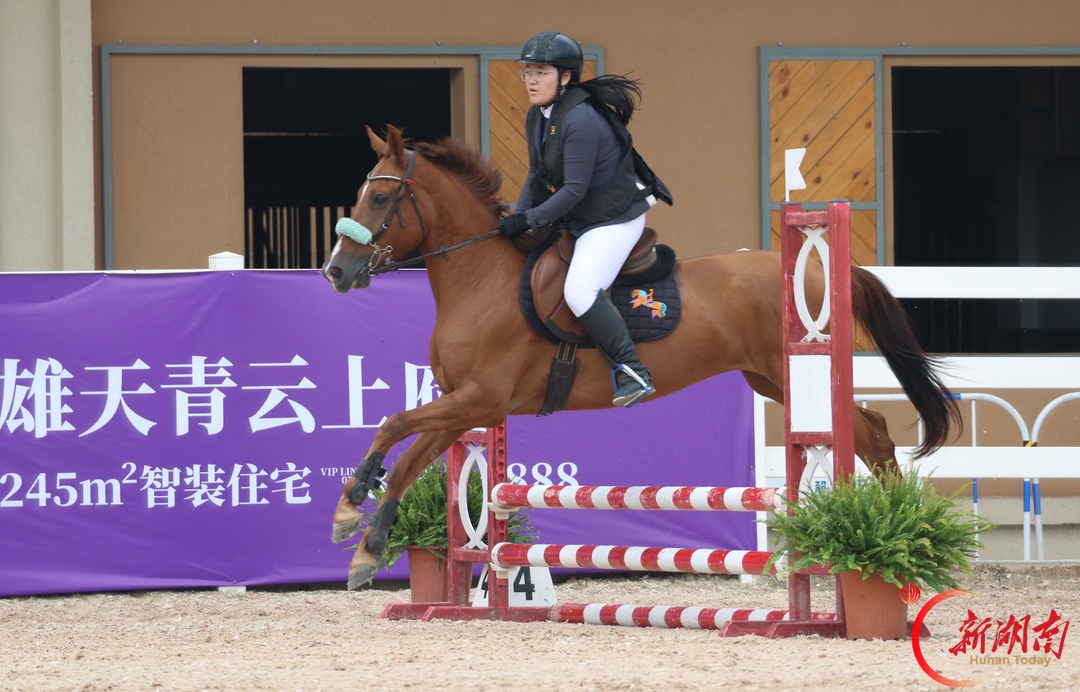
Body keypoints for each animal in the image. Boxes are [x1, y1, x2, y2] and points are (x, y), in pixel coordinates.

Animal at [321, 124, 961, 590]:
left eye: (381, 197)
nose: (335, 271)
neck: (482, 280)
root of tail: (818, 270)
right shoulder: (465, 406)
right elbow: (407, 448)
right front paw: (359, 528)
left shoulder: (479, 398)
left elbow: (396, 428)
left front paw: (355, 524)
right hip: (770, 380)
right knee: (872, 427)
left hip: (791, 374)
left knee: (869, 433)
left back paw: (888, 539)